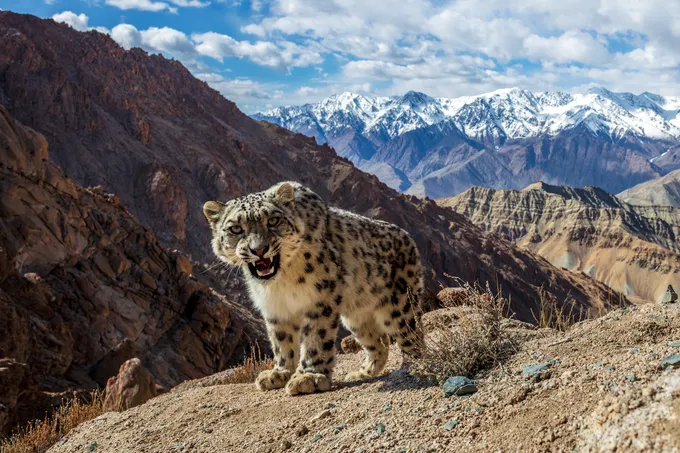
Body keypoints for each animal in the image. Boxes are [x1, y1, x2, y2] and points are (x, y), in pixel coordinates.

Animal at [203, 181, 424, 395]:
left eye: (273, 221)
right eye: (235, 229)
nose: (259, 249)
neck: (282, 280)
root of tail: (408, 237)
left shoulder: (320, 298)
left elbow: (316, 337)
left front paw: (309, 377)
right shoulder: (275, 307)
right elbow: (281, 340)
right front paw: (279, 373)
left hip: (400, 307)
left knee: (412, 337)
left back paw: (414, 366)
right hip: (356, 318)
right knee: (379, 342)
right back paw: (363, 372)